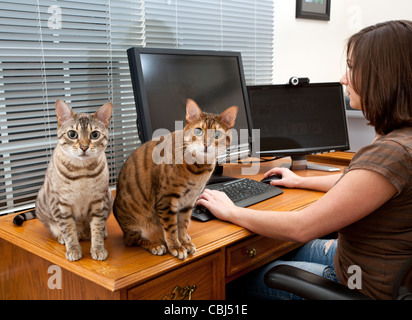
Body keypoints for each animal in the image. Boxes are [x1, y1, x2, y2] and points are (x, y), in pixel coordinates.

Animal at [15, 100, 112, 260]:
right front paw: (73, 249)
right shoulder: (61, 205)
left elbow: (97, 228)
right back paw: (62, 237)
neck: (82, 171)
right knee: (56, 228)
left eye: (95, 134)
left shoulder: (99, 202)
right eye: (72, 134)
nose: (84, 147)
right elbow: (69, 231)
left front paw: (98, 248)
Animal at [113, 100, 238, 260]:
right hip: (134, 222)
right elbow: (171, 228)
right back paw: (155, 245)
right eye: (198, 131)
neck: (199, 168)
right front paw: (176, 246)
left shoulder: (189, 200)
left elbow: (183, 223)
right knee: (133, 240)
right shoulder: (166, 199)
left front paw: (184, 241)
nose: (206, 144)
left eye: (217, 134)